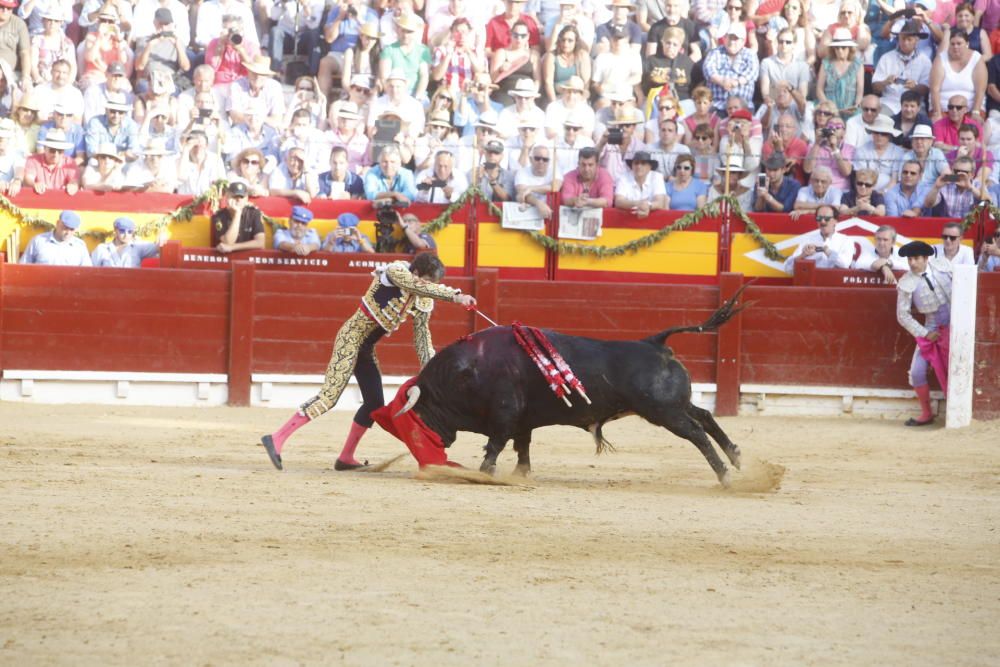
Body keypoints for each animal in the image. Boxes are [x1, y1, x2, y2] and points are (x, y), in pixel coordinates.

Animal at [398, 286, 752, 486]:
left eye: (423, 410)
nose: (437, 441)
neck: (469, 370)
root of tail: (655, 343)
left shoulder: (505, 413)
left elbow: (496, 445)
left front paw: (483, 473)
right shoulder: (522, 419)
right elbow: (522, 446)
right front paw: (520, 474)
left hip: (663, 411)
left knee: (696, 432)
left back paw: (725, 476)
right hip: (674, 404)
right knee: (705, 416)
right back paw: (735, 457)